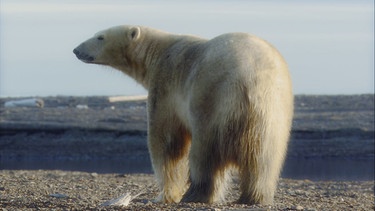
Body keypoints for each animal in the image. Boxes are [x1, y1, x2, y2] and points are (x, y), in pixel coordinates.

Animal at [73, 25, 296, 204]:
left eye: (100, 36)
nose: (76, 49)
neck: (157, 52)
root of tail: (250, 79)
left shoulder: (165, 85)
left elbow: (167, 142)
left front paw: (165, 195)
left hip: (211, 99)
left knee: (203, 154)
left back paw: (195, 194)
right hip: (273, 114)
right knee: (265, 160)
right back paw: (255, 196)